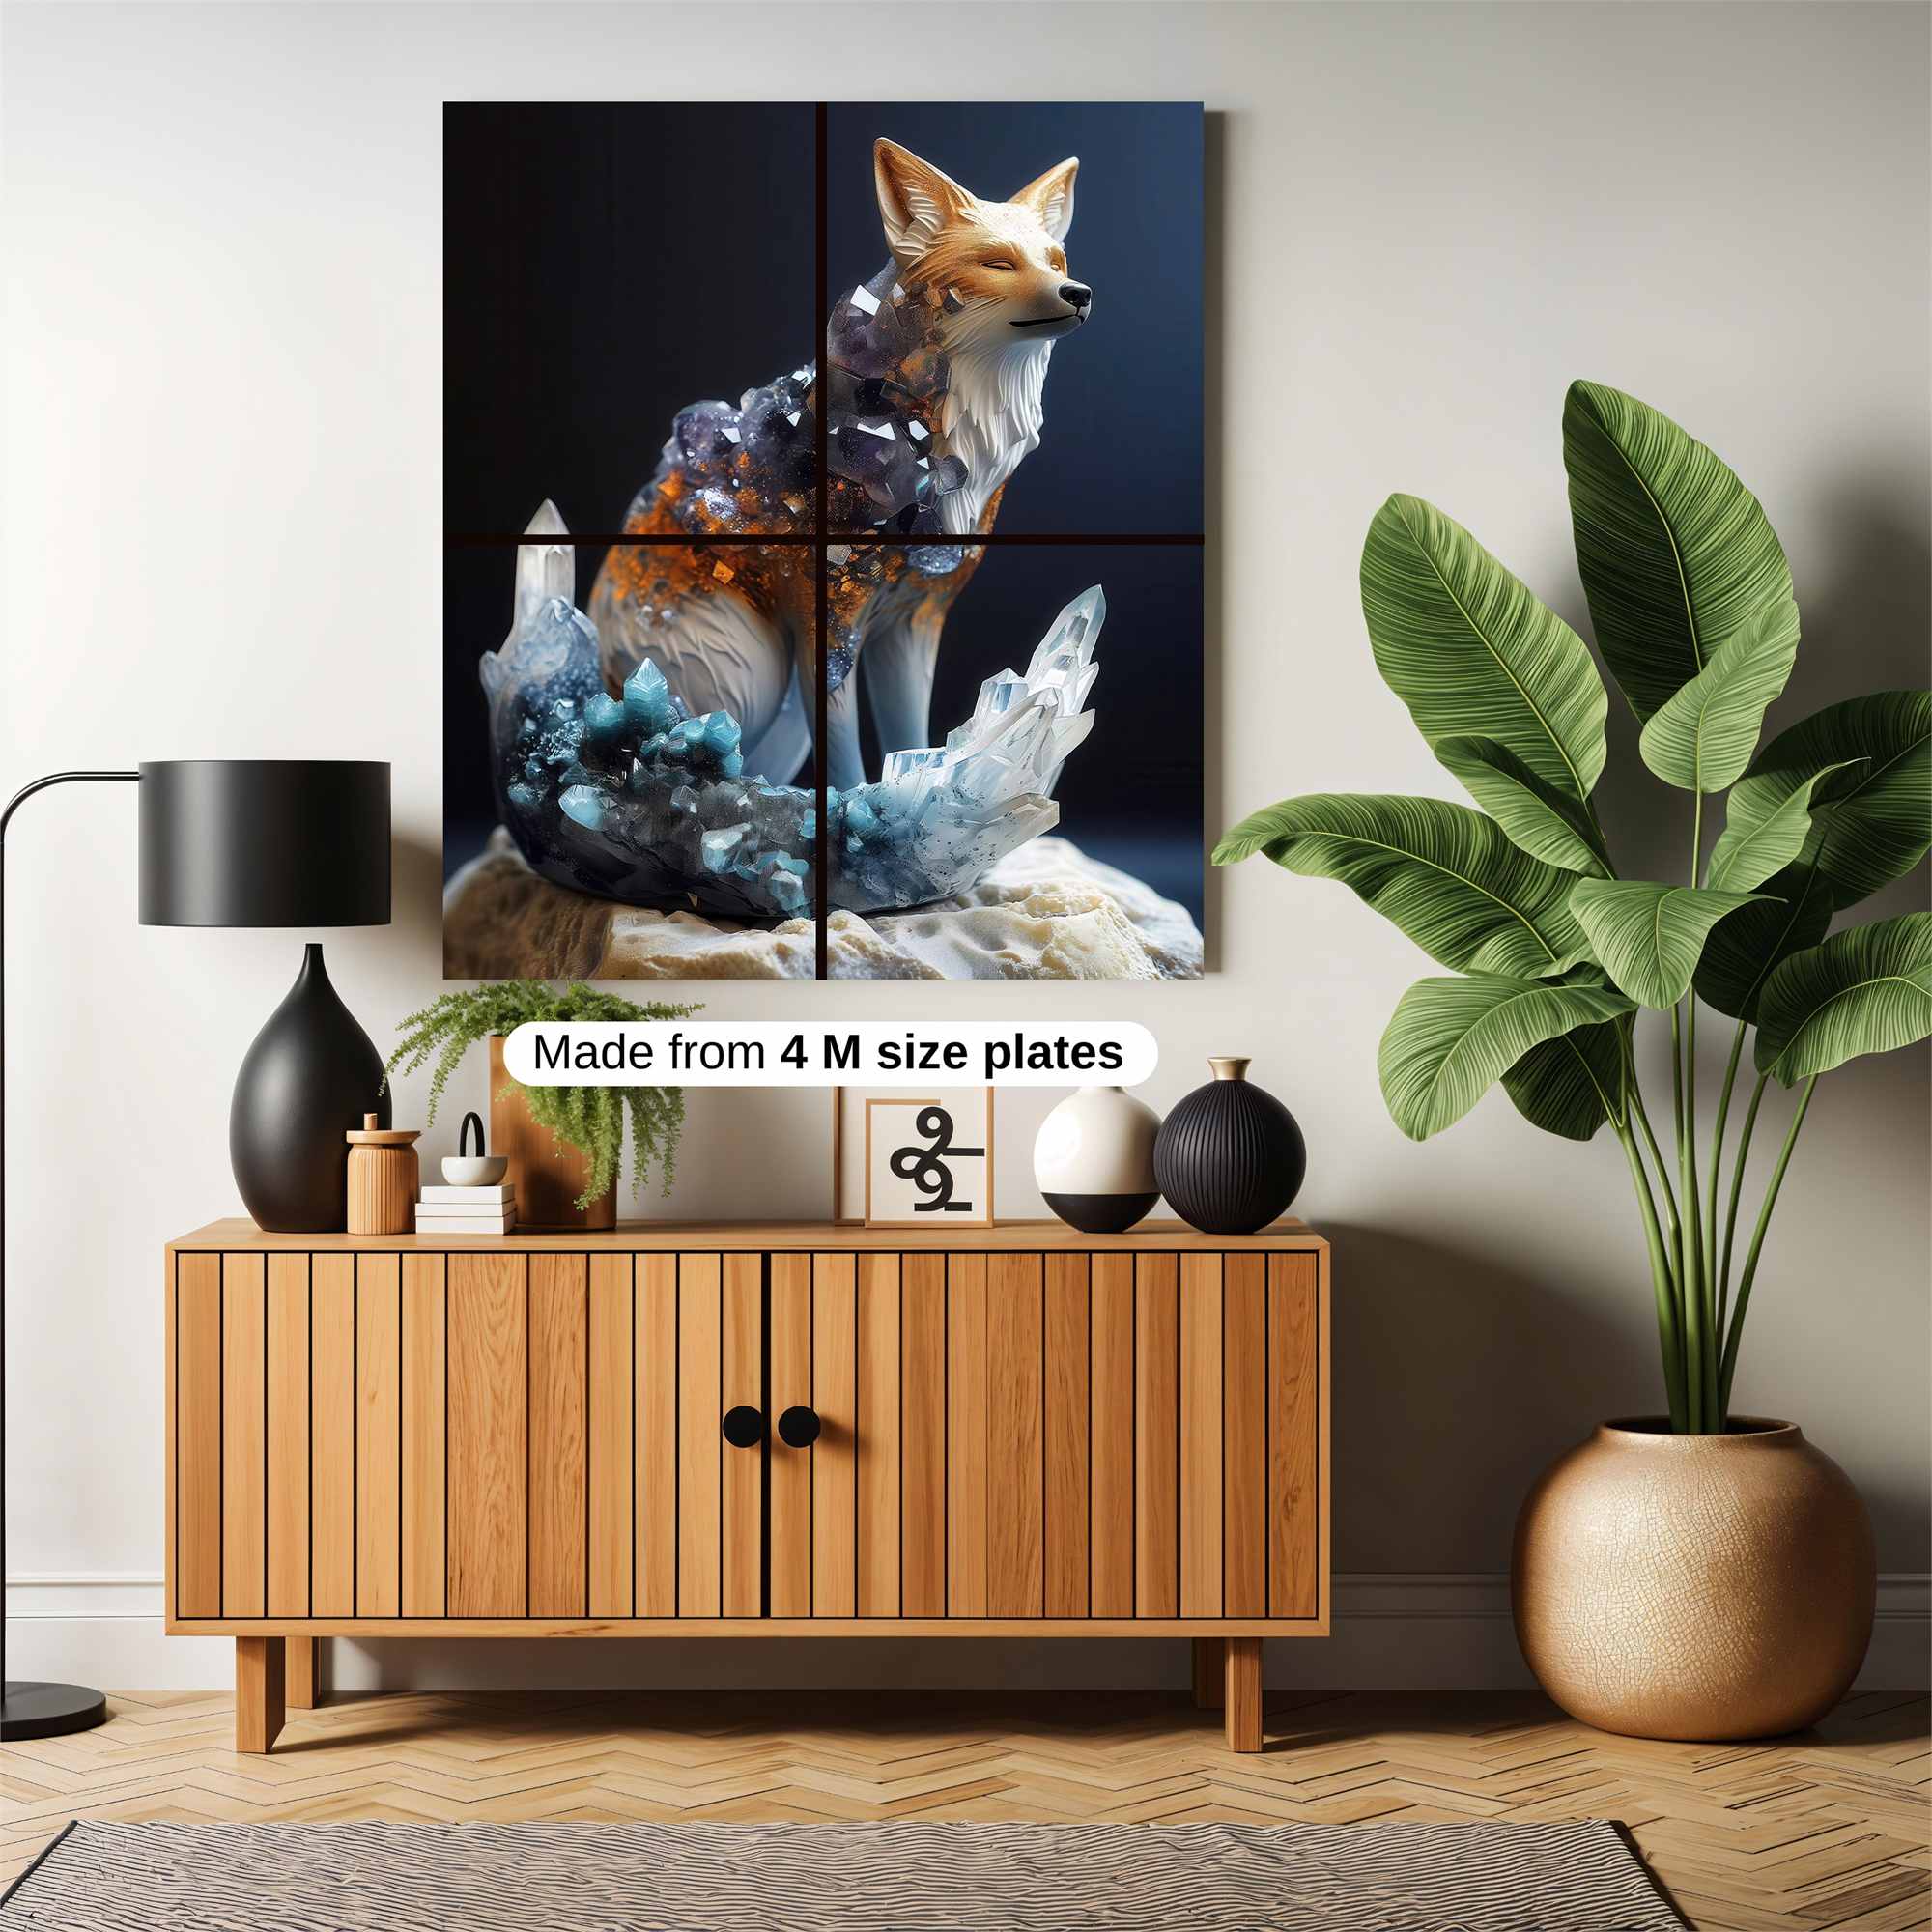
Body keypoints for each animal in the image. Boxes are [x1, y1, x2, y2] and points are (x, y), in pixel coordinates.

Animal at [588, 138, 1089, 795]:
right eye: (998, 263)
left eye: (1056, 261)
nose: (1078, 292)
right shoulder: (828, 628)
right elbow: (847, 765)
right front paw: (852, 816)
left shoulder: (913, 621)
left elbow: (909, 739)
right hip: (750, 673)